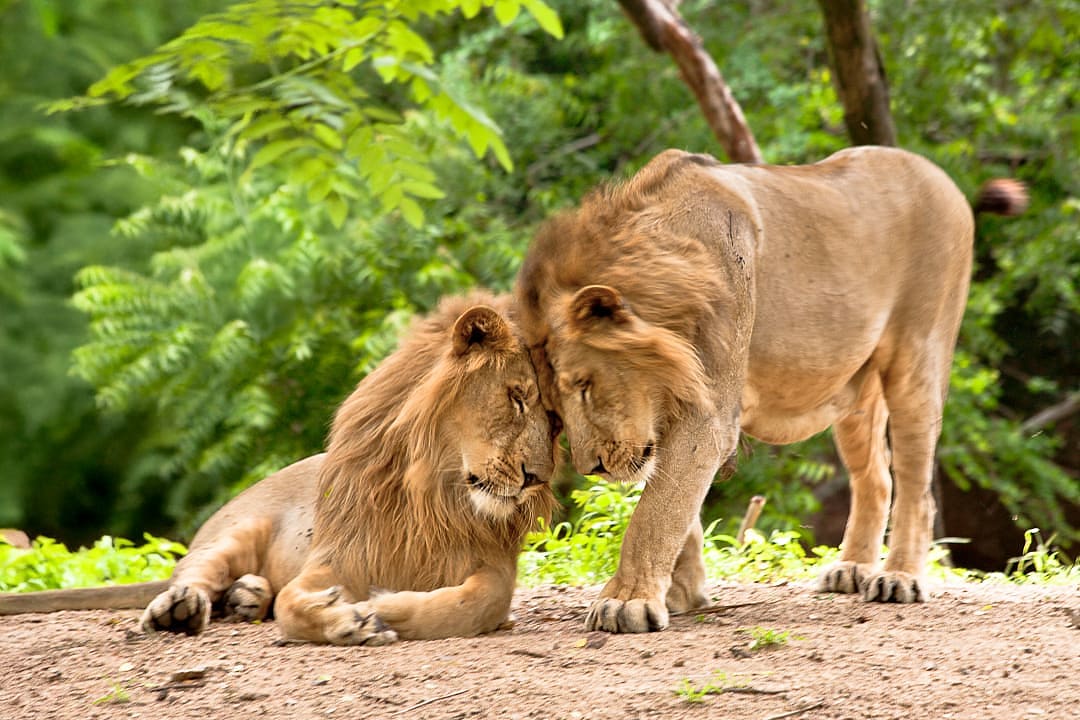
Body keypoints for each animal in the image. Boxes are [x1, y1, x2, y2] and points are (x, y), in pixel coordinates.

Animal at [0, 292, 557, 645]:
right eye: (516, 398)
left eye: (553, 419)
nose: (535, 477)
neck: (434, 493)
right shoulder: (336, 559)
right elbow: (294, 604)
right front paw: (351, 617)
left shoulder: (494, 569)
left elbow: (471, 603)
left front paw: (380, 606)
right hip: (234, 530)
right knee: (190, 573)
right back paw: (182, 609)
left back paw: (246, 598)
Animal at [515, 146, 1027, 633]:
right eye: (554, 408)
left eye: (583, 384)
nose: (592, 468)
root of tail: (943, 178)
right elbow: (678, 507)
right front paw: (683, 593)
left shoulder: (710, 414)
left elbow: (655, 513)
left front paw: (627, 601)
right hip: (853, 393)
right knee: (876, 479)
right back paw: (851, 570)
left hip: (917, 360)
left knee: (917, 488)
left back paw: (899, 577)